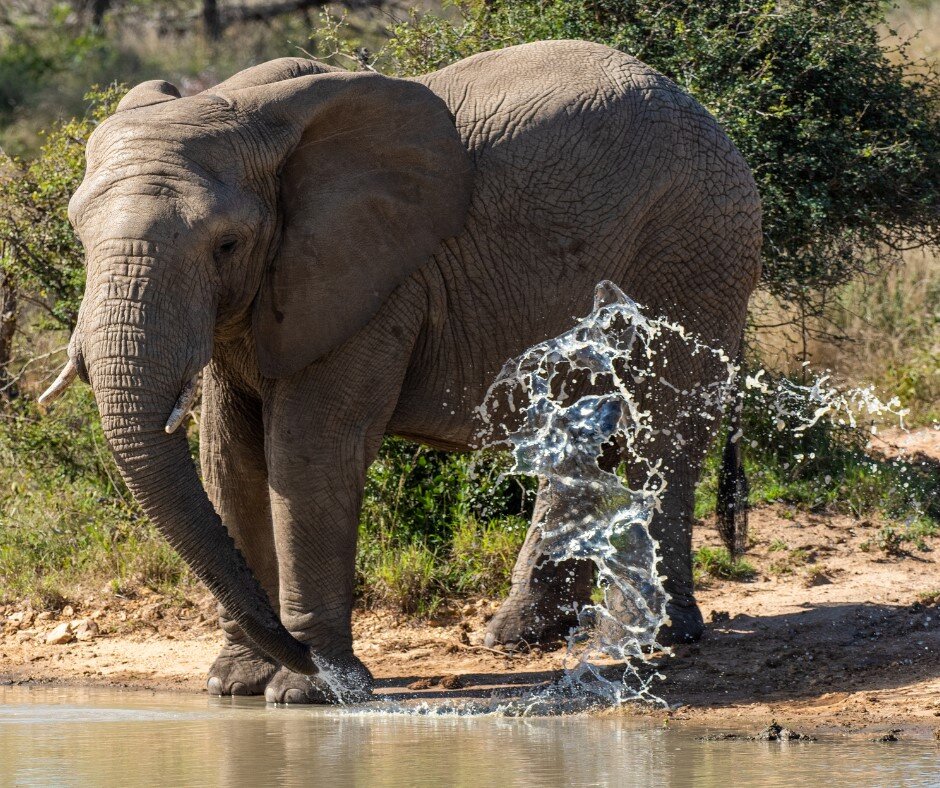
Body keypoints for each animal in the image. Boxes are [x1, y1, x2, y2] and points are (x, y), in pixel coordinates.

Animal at [41, 40, 761, 703]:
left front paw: (311, 691)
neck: (249, 110)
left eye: (226, 244)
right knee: (581, 435)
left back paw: (644, 636)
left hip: (695, 249)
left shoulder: (377, 284)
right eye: (79, 237)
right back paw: (521, 637)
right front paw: (236, 684)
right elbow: (228, 457)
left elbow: (308, 453)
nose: (297, 653)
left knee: (660, 430)